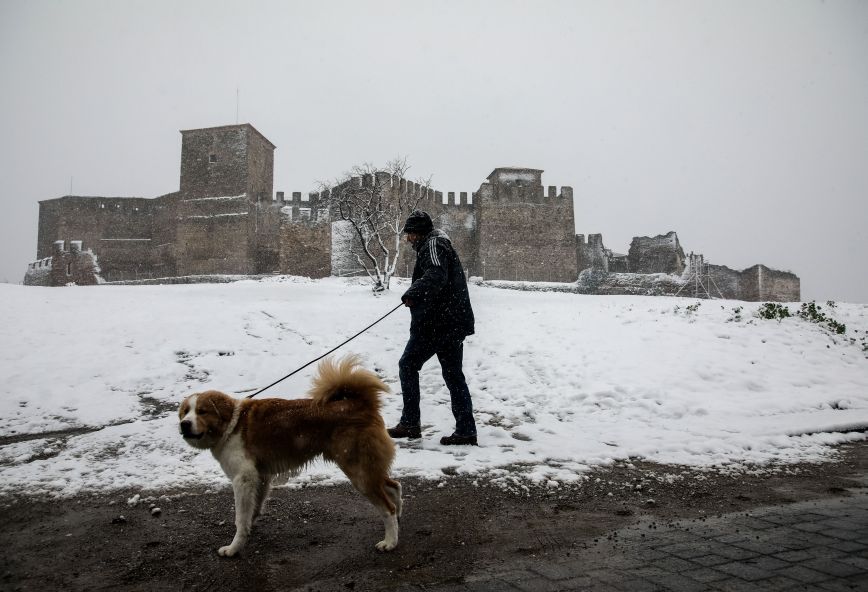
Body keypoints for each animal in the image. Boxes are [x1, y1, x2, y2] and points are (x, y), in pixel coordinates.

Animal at [182, 356, 404, 556]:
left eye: (202, 411)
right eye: (185, 412)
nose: (184, 424)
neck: (231, 423)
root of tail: (361, 404)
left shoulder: (243, 479)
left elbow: (241, 518)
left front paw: (234, 547)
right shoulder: (261, 476)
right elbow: (253, 509)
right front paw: (248, 531)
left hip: (358, 472)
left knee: (388, 507)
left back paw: (391, 541)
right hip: (366, 469)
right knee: (394, 487)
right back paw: (399, 518)